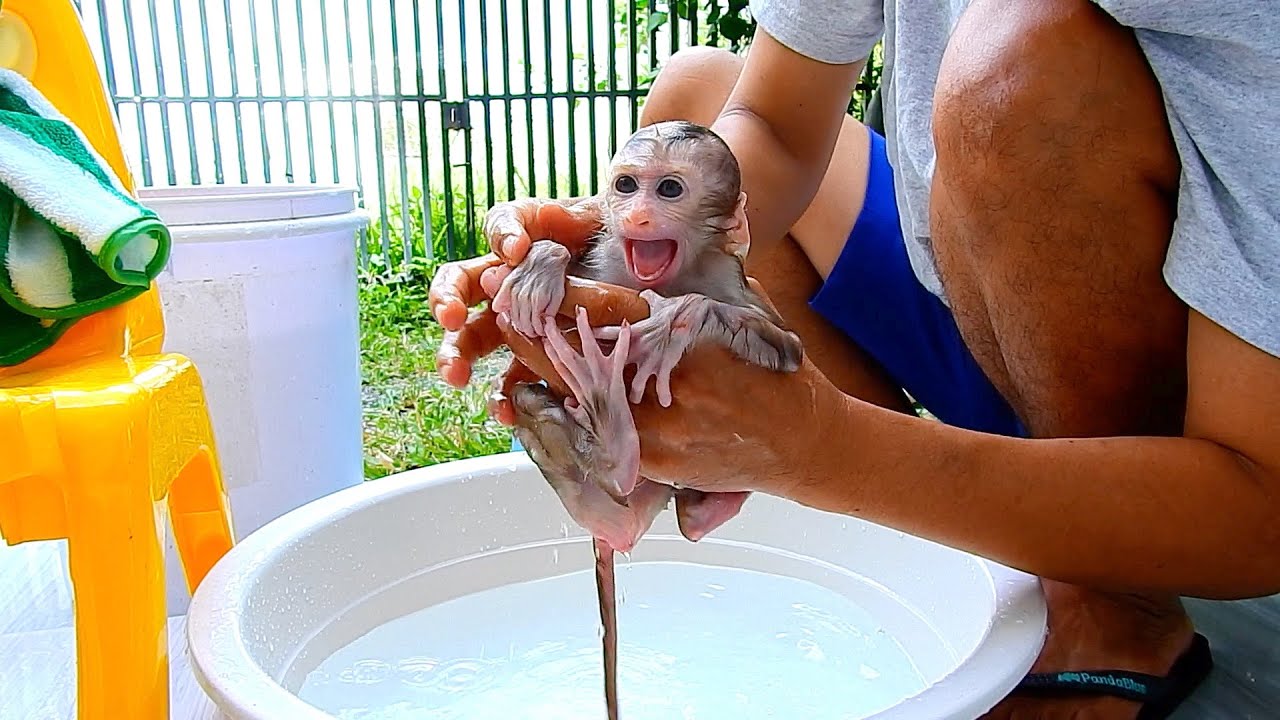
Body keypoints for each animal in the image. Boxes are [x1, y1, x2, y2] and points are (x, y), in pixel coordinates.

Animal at [492, 120, 804, 720]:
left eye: (669, 190)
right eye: (626, 185)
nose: (636, 216)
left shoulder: (730, 276)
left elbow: (786, 346)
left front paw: (677, 321)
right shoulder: (605, 260)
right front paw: (541, 259)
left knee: (676, 518)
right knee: (530, 403)